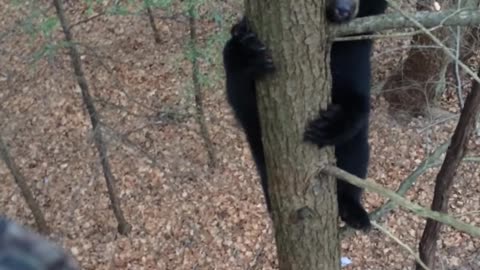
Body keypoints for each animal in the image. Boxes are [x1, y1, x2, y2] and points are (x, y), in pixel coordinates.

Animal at [224, 0, 386, 230]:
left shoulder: (355, 57)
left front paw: (328, 126)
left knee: (356, 157)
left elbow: (358, 103)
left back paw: (352, 210)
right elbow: (241, 99)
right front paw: (247, 53)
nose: (343, 9)